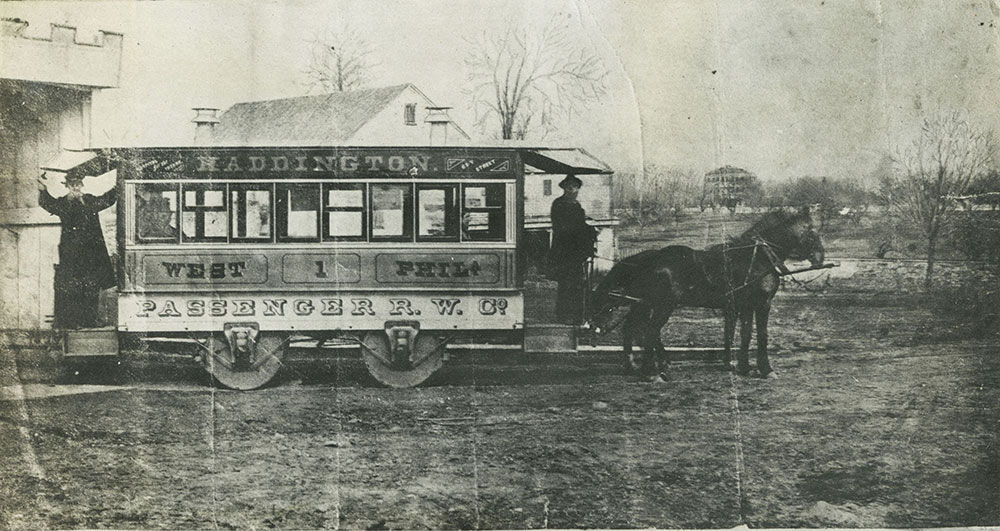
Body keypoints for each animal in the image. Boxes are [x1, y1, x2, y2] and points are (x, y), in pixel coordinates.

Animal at [584, 210, 820, 380]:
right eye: (813, 232)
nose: (820, 257)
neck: (758, 258)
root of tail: (649, 260)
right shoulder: (762, 304)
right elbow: (761, 335)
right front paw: (766, 369)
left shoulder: (745, 306)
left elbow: (745, 335)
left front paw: (744, 367)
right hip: (662, 305)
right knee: (649, 331)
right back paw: (651, 372)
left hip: (647, 304)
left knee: (635, 329)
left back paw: (636, 365)